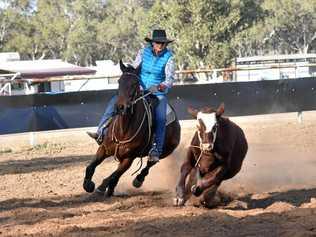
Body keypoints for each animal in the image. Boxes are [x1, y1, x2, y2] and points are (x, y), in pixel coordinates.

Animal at [83, 60, 180, 196]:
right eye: (119, 81)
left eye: (135, 84)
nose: (121, 107)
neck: (123, 131)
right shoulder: (104, 149)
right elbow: (91, 166)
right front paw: (88, 184)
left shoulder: (129, 158)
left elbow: (115, 175)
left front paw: (103, 187)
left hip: (165, 151)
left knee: (149, 164)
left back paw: (137, 180)